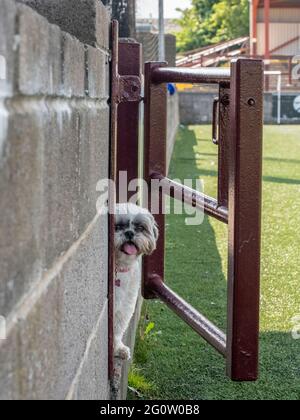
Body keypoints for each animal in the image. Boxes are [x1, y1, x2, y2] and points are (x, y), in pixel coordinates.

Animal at [113, 203, 159, 360]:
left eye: (140, 227)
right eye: (117, 226)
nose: (129, 233)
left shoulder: (124, 308)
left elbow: (117, 329)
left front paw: (117, 348)